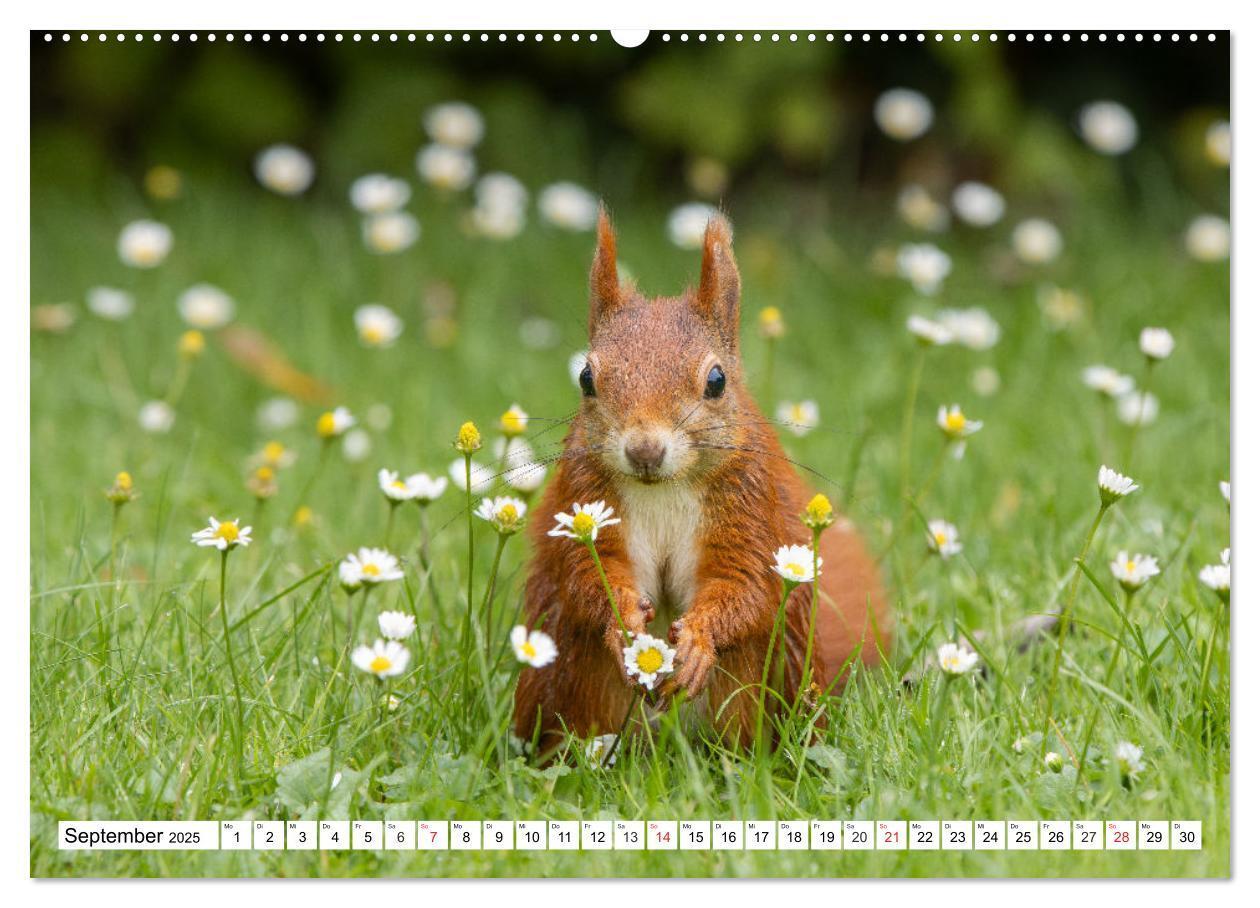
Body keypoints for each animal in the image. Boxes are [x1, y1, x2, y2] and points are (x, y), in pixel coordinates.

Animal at [509, 209, 887, 745]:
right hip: (575, 679)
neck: (663, 489)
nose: (644, 450)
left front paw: (698, 641)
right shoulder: (583, 501)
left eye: (717, 380)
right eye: (585, 378)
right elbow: (587, 576)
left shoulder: (749, 508)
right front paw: (624, 622)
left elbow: (744, 586)